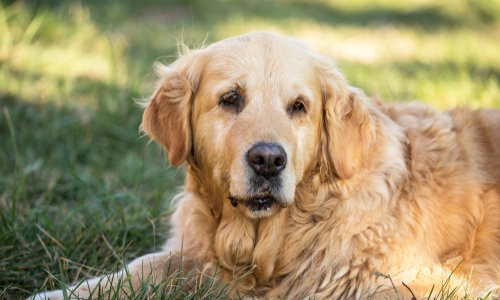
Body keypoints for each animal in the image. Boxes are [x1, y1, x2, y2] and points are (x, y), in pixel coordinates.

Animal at [32, 31, 500, 298]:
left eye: (298, 106)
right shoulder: (189, 255)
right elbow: (127, 273)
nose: (269, 160)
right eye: (230, 99)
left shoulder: (415, 280)